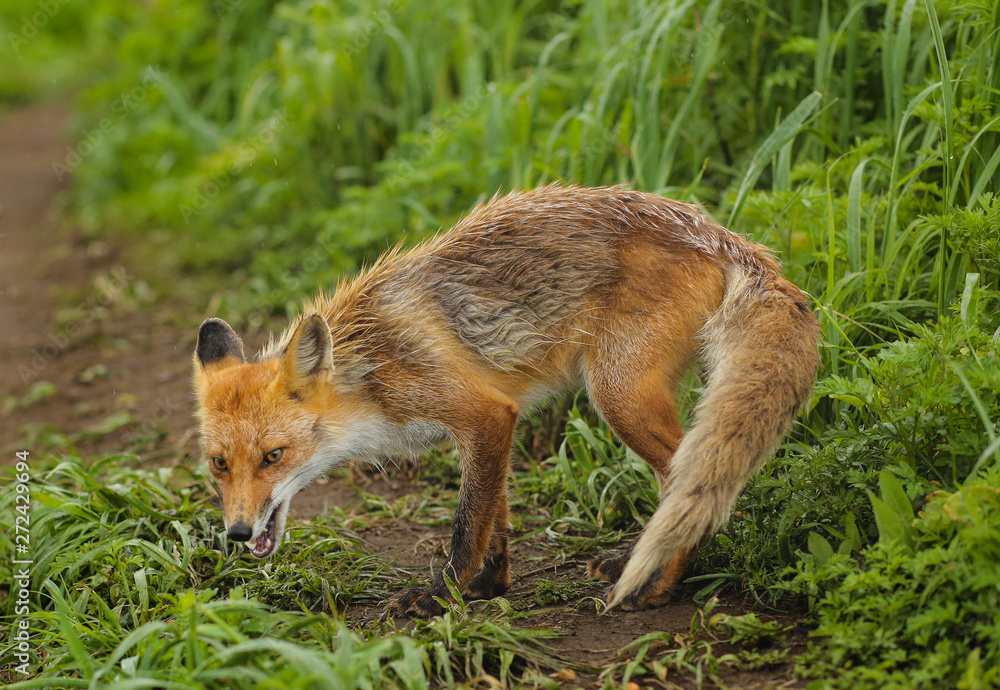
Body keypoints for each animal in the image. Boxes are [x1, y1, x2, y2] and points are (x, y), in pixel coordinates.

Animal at [192, 184, 820, 616]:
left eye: (273, 457)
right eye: (219, 465)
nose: (238, 534)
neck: (369, 371)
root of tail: (721, 234)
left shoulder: (485, 415)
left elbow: (467, 524)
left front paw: (438, 598)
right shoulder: (488, 423)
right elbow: (494, 516)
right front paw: (490, 586)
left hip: (616, 395)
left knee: (687, 486)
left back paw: (658, 587)